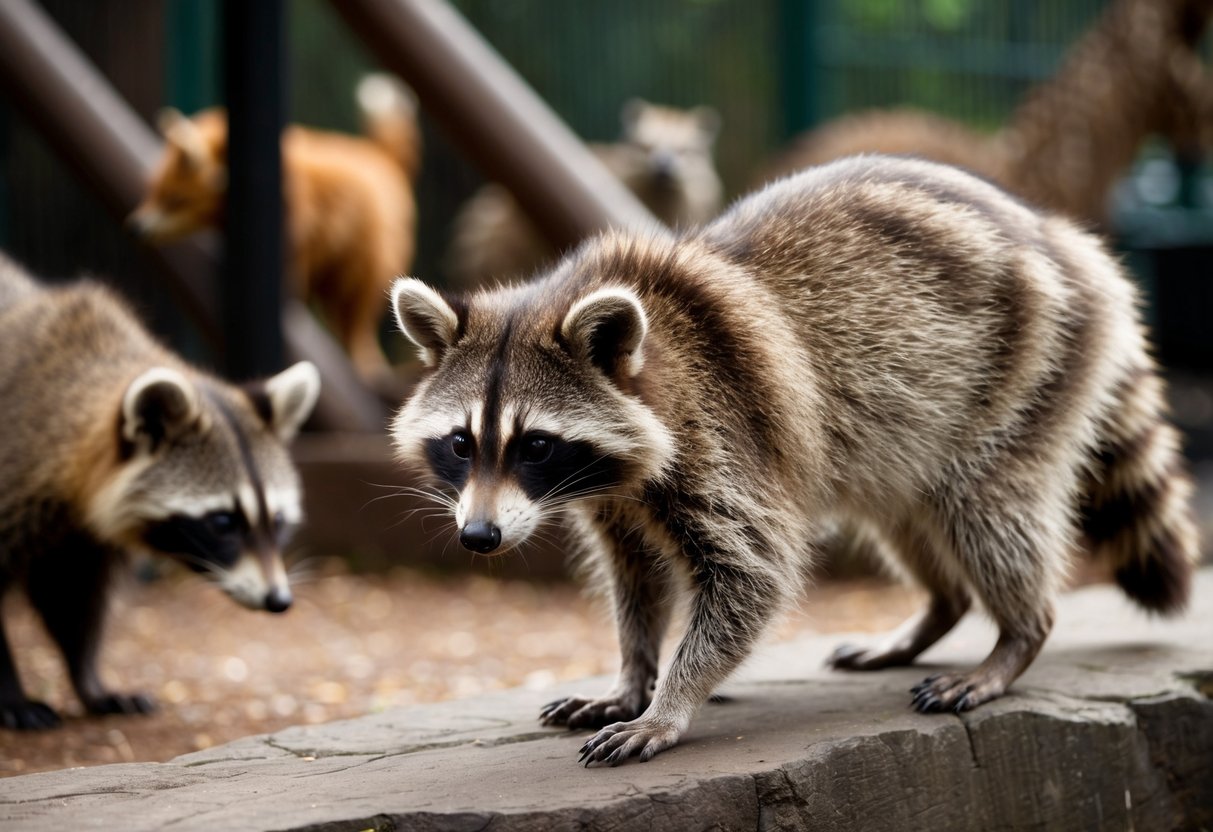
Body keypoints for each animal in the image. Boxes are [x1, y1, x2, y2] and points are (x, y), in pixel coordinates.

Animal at [0, 255, 319, 730]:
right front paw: (10, 692)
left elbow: (74, 596)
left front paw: (88, 679)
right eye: (222, 522)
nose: (279, 600)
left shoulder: (78, 533)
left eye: (276, 520)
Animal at [390, 154, 1199, 766]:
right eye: (461, 443)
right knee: (906, 513)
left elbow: (753, 574)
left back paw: (1017, 636)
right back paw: (938, 609)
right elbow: (634, 577)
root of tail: (1062, 238)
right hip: (903, 434)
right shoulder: (610, 494)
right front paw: (632, 673)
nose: (479, 537)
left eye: (534, 444)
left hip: (1025, 370)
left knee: (987, 510)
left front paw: (670, 700)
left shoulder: (718, 432)